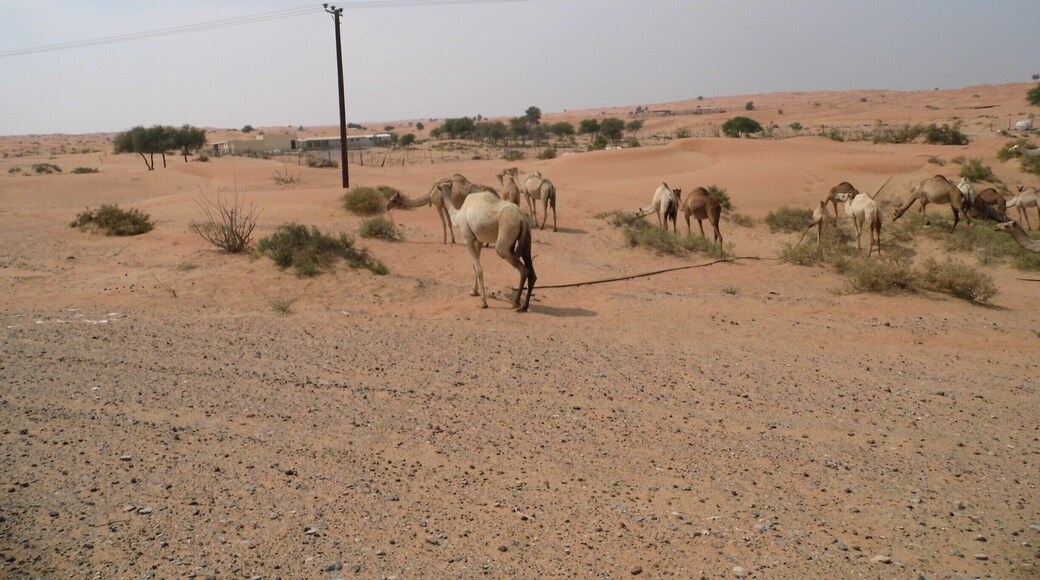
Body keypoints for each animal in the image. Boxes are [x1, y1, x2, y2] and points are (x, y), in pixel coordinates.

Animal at [436, 183, 536, 311]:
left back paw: (516, 303)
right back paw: (525, 306)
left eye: (438, 190)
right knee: (531, 271)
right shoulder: (479, 239)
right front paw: (474, 291)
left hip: (504, 240)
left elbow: (478, 268)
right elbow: (474, 265)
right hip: (526, 237)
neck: (458, 215)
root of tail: (521, 218)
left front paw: (483, 302)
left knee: (523, 269)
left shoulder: (468, 239)